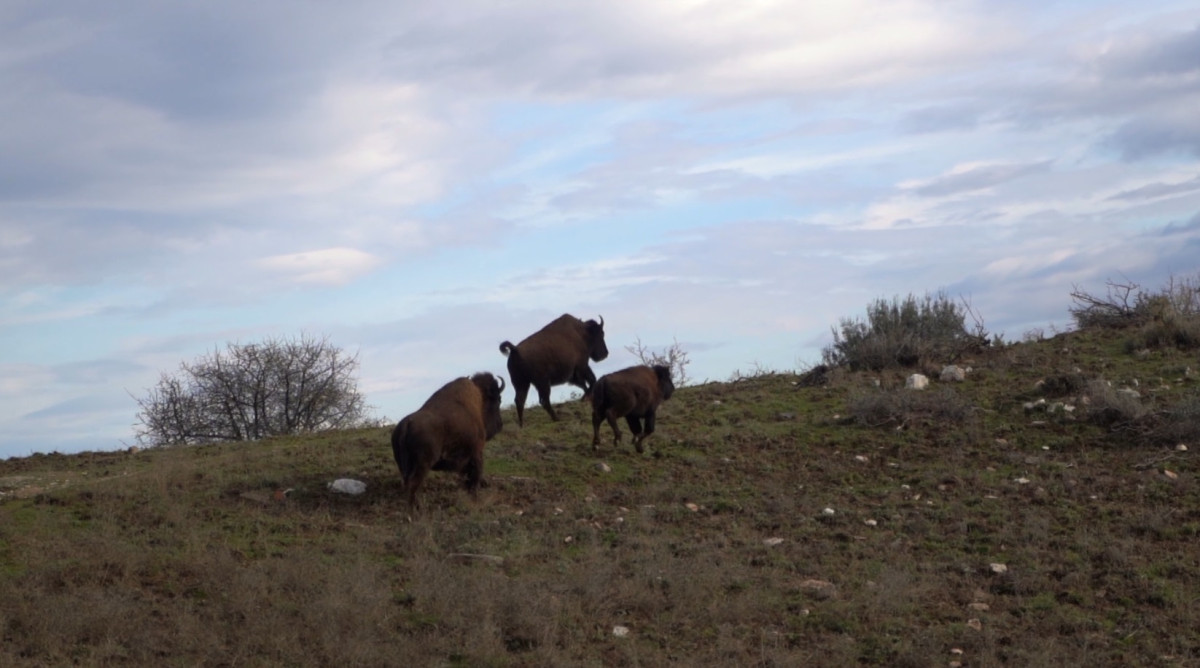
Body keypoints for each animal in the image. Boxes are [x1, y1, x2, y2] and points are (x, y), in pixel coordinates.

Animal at [393, 371, 506, 508]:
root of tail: (407, 423)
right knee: (413, 484)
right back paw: (418, 507)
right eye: (498, 400)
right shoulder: (476, 452)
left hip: (403, 464)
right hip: (422, 465)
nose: (500, 425)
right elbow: (476, 475)